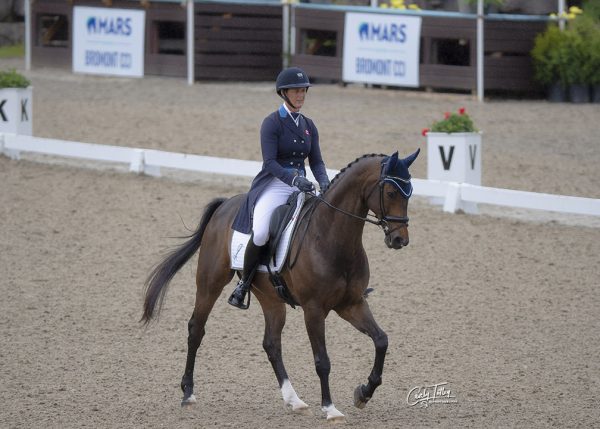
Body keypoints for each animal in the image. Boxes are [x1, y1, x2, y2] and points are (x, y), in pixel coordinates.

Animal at [142, 149, 420, 420]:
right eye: (391, 192)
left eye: (410, 192)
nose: (400, 240)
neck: (331, 236)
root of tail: (226, 205)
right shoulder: (314, 310)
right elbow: (322, 361)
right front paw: (330, 408)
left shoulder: (351, 304)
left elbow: (381, 340)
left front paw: (363, 393)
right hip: (210, 283)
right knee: (196, 330)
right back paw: (188, 394)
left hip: (270, 297)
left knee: (271, 344)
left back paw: (294, 400)